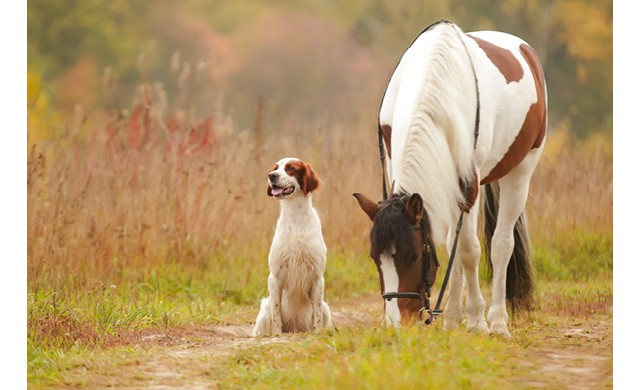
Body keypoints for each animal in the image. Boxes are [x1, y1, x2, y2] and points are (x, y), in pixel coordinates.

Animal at [252, 157, 332, 336]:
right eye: (276, 168)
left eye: (290, 168)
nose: (271, 175)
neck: (296, 217)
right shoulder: (275, 276)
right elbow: (276, 313)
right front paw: (276, 334)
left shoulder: (317, 277)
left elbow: (316, 313)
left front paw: (317, 333)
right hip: (265, 307)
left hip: (326, 307)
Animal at [356, 20, 544, 338]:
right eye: (374, 258)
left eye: (413, 256)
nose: (398, 324)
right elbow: (450, 247)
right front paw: (455, 318)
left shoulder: (469, 184)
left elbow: (468, 250)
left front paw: (477, 319)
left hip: (522, 169)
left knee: (501, 245)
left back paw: (497, 321)